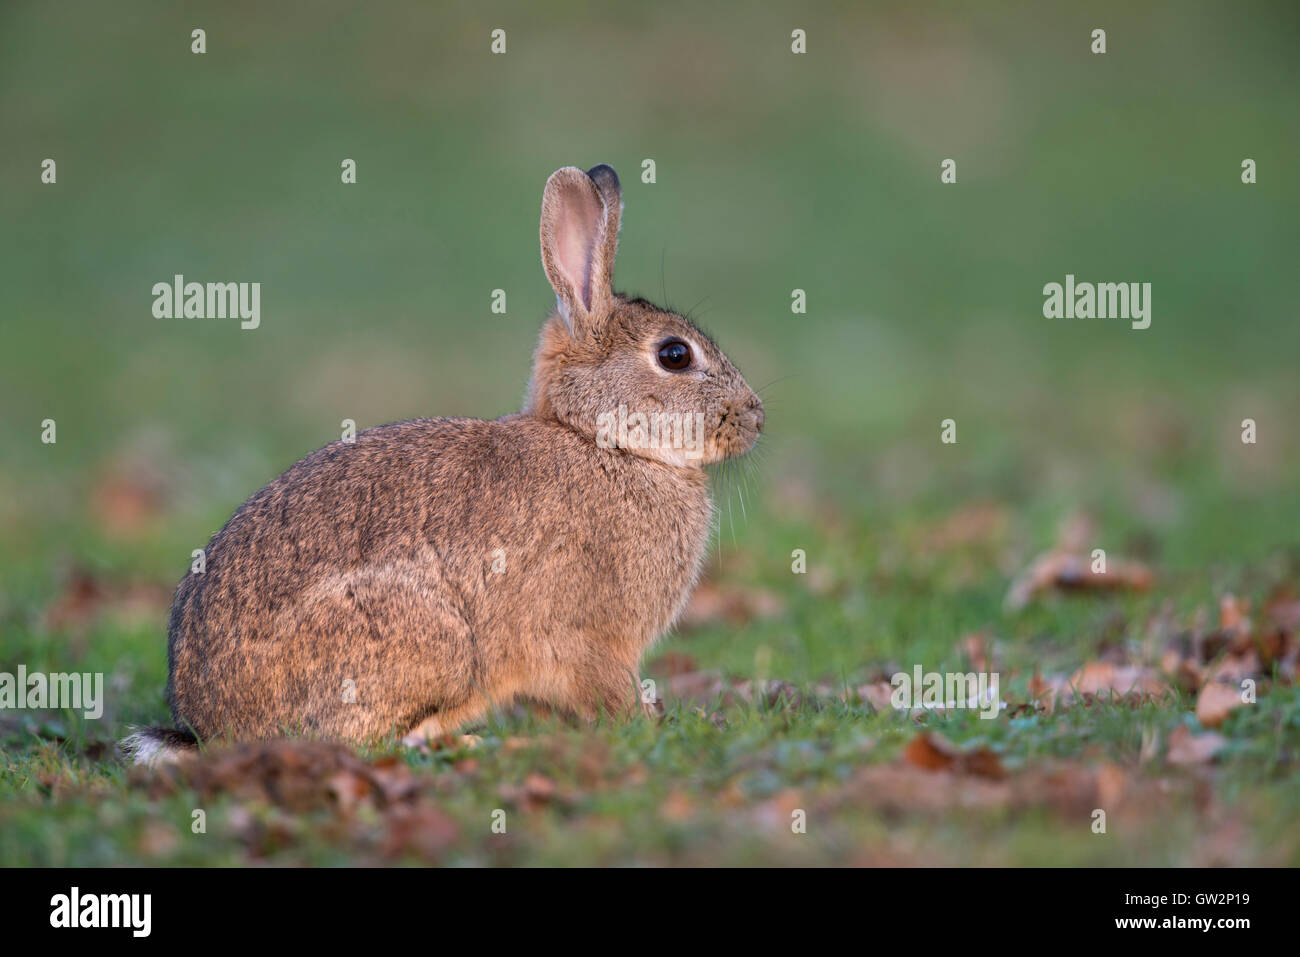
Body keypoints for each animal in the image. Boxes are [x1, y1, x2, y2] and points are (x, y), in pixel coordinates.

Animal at [122, 160, 759, 764]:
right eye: (674, 355)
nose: (755, 417)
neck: (601, 442)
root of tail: (210, 727)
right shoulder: (591, 640)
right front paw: (649, 726)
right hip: (434, 643)